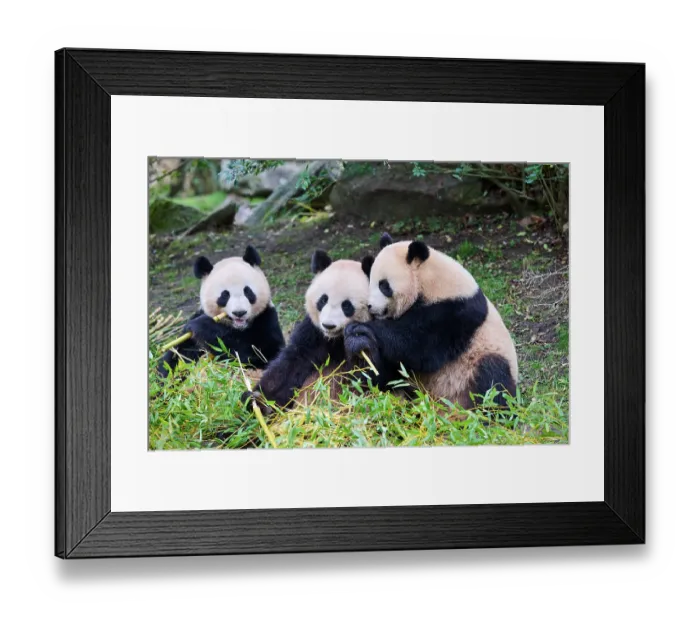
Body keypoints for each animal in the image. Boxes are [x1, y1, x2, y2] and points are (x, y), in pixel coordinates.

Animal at [157, 245, 285, 377]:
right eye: (225, 295)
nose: (239, 312)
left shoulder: (266, 319)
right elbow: (179, 355)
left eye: (248, 291)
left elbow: (262, 355)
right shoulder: (194, 327)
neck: (238, 328)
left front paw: (203, 326)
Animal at [241, 249, 372, 414]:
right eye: (323, 300)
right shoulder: (314, 332)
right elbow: (292, 363)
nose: (328, 325)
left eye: (346, 305)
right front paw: (259, 402)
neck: (336, 338)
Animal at [344, 232, 518, 410]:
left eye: (384, 286)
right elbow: (389, 370)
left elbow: (418, 345)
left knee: (492, 379)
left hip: (480, 360)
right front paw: (358, 342)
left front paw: (362, 329)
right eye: (371, 282)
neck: (430, 280)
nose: (370, 306)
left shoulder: (455, 311)